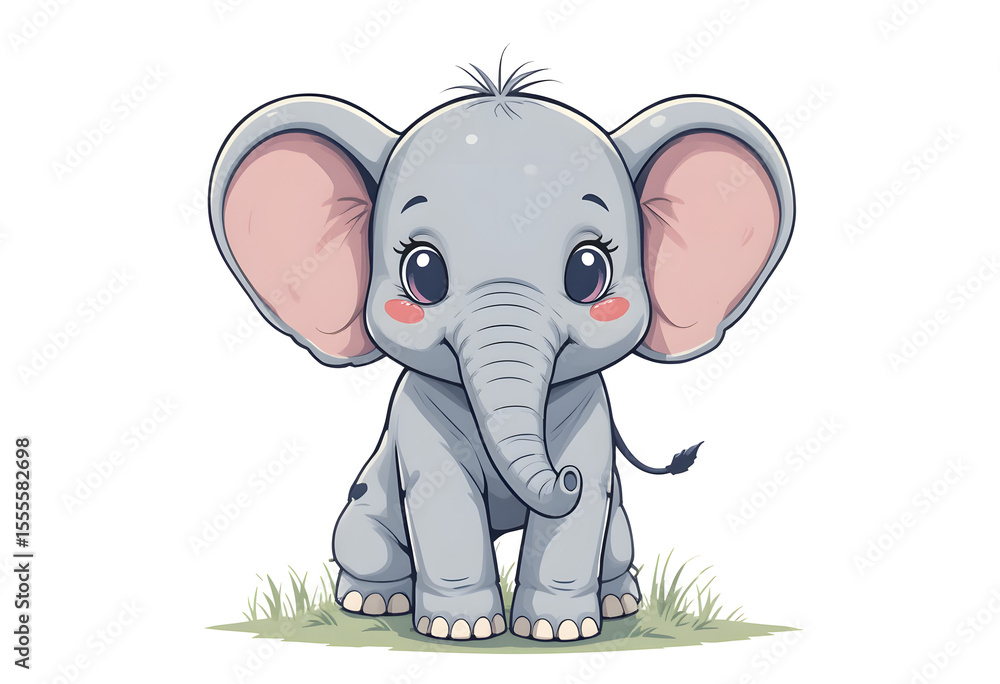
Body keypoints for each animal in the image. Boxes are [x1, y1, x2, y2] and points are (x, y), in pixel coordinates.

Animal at [208, 59, 794, 643]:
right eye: (423, 272)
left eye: (589, 271)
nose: (564, 476)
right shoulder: (416, 412)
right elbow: (443, 495)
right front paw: (459, 630)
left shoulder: (592, 412)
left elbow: (585, 504)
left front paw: (562, 632)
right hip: (364, 508)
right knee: (363, 544)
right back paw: (372, 602)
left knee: (617, 541)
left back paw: (620, 603)